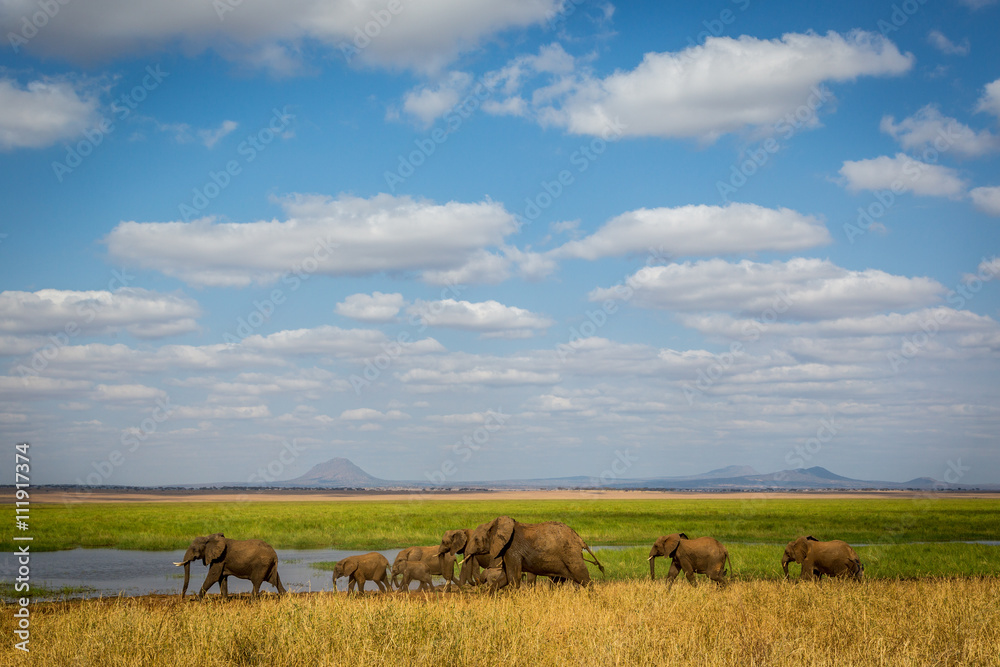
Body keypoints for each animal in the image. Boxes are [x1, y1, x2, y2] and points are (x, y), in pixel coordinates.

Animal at [463, 516, 605, 588]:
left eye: (476, 539)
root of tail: (580, 539)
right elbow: (504, 578)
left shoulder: (512, 549)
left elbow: (513, 578)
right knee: (559, 581)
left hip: (571, 554)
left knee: (584, 579)